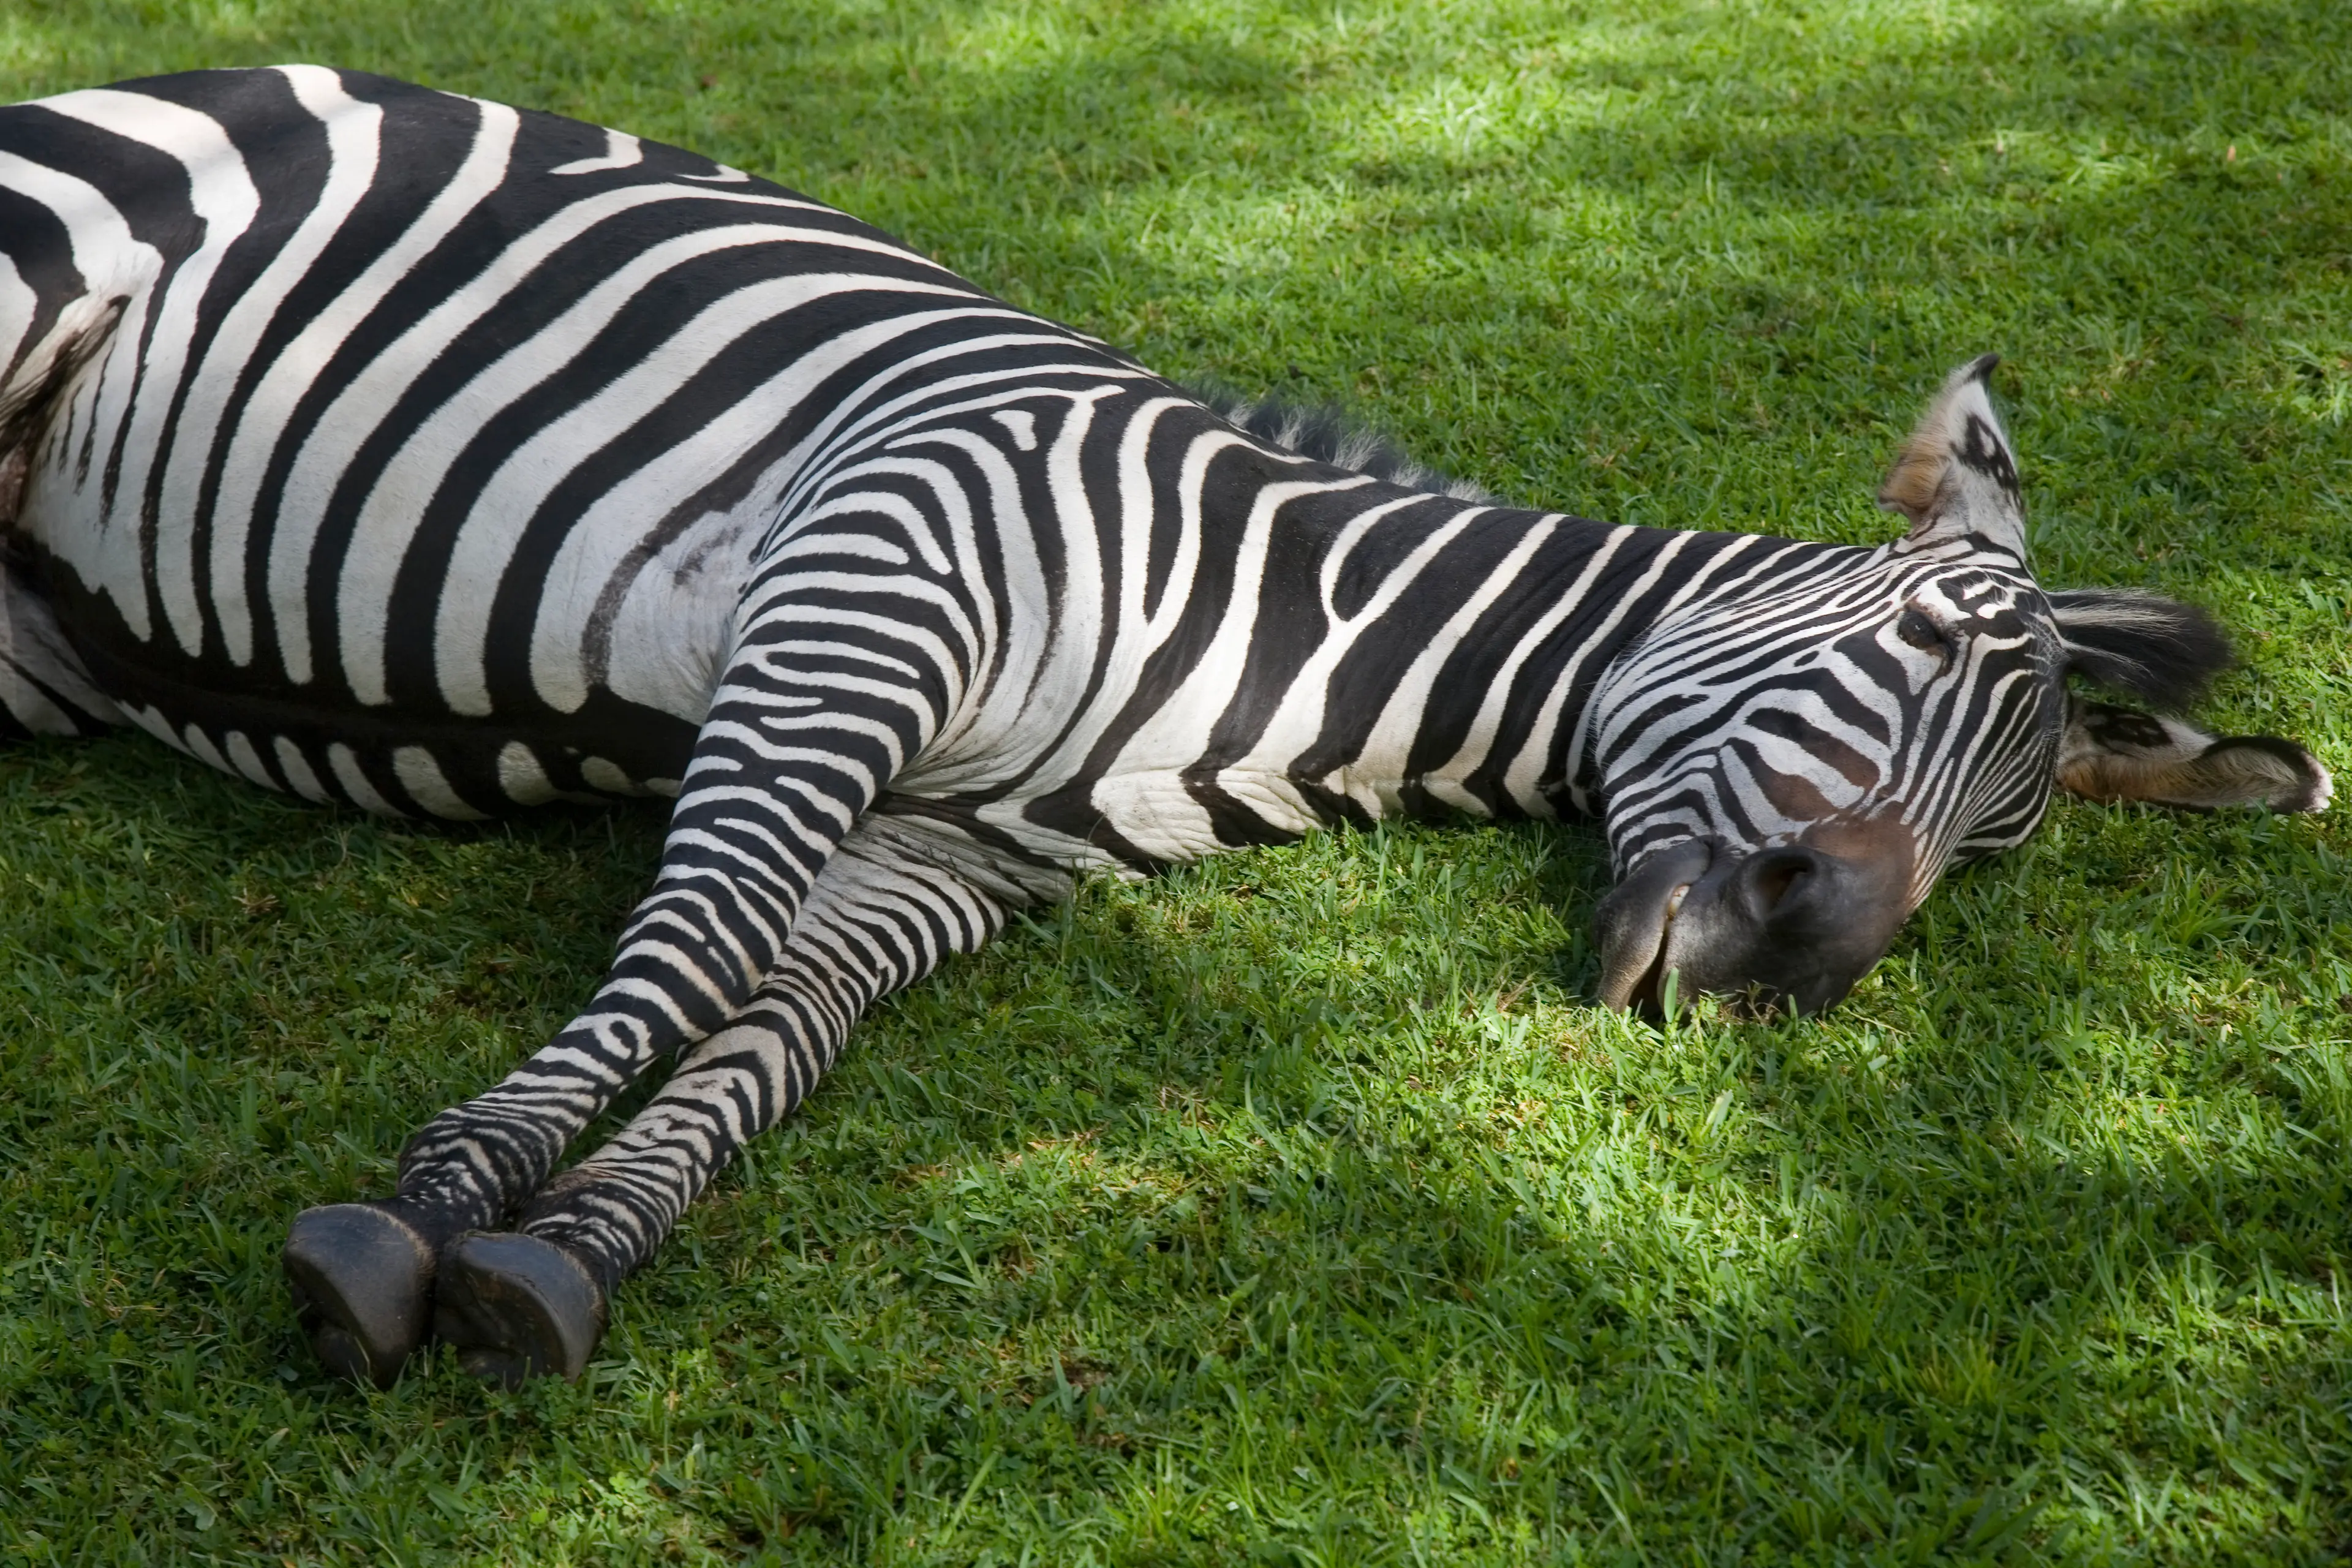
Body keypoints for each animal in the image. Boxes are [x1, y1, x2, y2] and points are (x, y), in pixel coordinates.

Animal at [0, 67, 2328, 1388]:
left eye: (2001, 851)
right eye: (1923, 633)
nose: (1787, 967)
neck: (1278, 640)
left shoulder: (961, 854)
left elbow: (769, 1035)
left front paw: (563, 1249)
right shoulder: (862, 592)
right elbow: (696, 948)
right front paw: (431, 1200)